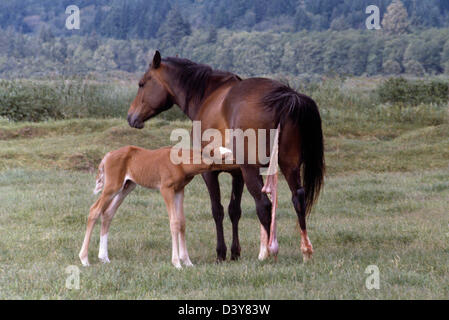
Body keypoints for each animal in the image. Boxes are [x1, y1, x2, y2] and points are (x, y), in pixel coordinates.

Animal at [77, 145, 229, 268]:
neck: (180, 162)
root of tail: (107, 155)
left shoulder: (179, 190)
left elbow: (182, 222)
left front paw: (187, 262)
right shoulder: (166, 189)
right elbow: (174, 222)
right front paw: (177, 263)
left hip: (127, 186)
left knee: (108, 213)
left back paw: (104, 258)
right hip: (112, 187)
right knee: (95, 210)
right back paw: (84, 259)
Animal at [128, 51, 324, 262]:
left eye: (141, 83)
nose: (131, 117)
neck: (208, 94)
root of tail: (284, 96)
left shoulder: (210, 173)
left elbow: (218, 210)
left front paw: (221, 253)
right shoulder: (238, 174)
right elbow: (234, 210)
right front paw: (235, 252)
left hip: (253, 170)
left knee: (264, 204)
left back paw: (268, 252)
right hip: (289, 166)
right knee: (298, 198)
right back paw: (305, 250)